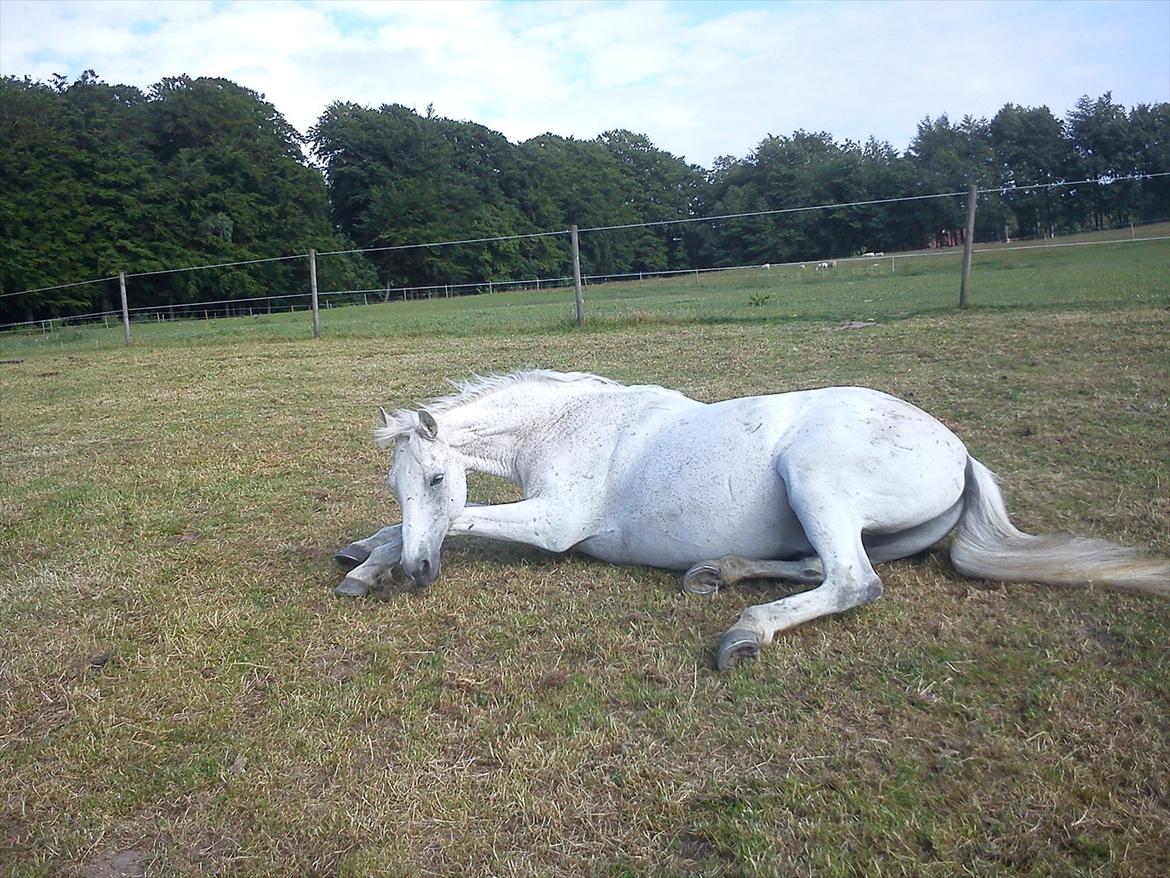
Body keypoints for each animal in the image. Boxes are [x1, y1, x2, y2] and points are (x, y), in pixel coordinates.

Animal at [332, 372, 1170, 674]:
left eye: (435, 476)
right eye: (397, 483)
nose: (420, 577)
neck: (572, 425)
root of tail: (962, 455)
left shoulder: (553, 524)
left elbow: (464, 520)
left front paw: (371, 568)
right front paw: (365, 556)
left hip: (815, 480)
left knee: (853, 582)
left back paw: (745, 631)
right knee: (821, 566)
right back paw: (719, 571)